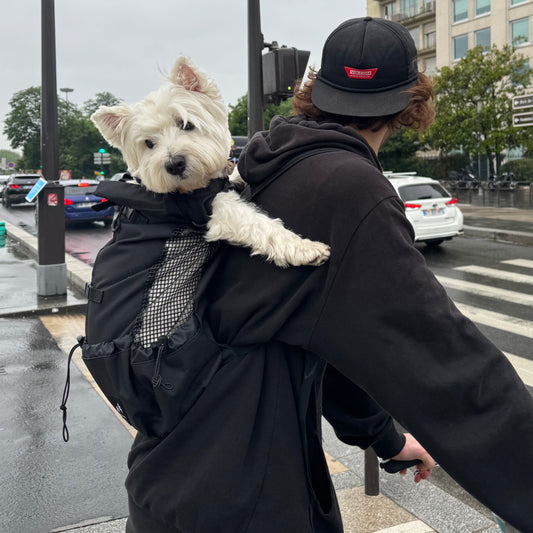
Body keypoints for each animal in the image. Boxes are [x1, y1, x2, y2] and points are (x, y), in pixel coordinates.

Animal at [90, 55, 328, 266]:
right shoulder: (213, 209)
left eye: (186, 124)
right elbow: (255, 222)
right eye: (149, 143)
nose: (174, 164)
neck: (194, 187)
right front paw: (305, 248)